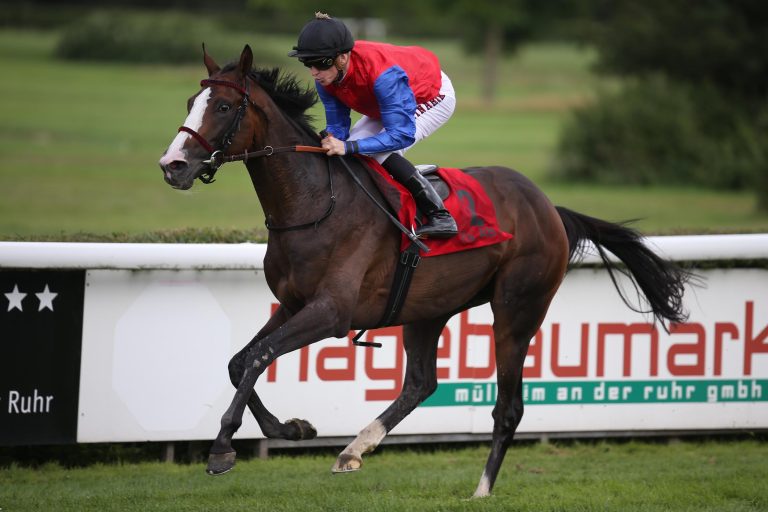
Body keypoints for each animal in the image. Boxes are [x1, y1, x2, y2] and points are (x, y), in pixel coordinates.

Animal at [158, 45, 689, 498]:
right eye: (190, 101)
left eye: (224, 106)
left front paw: (222, 449)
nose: (172, 165)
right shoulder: (292, 304)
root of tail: (548, 207)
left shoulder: (331, 312)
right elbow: (240, 361)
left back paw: (481, 490)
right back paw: (354, 449)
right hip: (427, 309)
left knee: (508, 407)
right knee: (420, 382)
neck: (314, 204)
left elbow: (257, 357)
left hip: (518, 308)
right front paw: (292, 428)